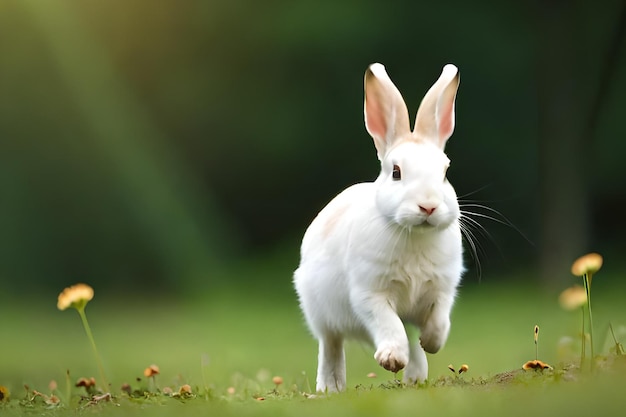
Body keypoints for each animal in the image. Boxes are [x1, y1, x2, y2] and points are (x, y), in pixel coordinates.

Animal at [294, 63, 464, 392]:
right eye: (396, 172)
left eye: (445, 172)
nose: (428, 206)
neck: (415, 235)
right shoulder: (370, 293)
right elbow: (389, 323)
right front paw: (390, 359)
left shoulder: (442, 290)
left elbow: (439, 321)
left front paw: (431, 343)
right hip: (321, 312)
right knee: (331, 346)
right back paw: (330, 388)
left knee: (410, 339)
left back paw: (415, 377)